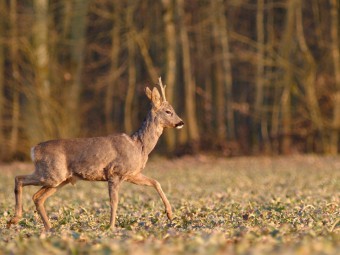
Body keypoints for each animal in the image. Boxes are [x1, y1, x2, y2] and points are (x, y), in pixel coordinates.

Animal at [7, 77, 183, 231]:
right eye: (168, 111)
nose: (181, 122)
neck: (139, 146)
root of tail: (34, 149)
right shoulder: (115, 172)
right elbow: (114, 202)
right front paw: (111, 227)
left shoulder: (132, 174)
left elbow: (155, 182)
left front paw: (170, 214)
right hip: (52, 174)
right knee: (19, 179)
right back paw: (15, 219)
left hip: (59, 180)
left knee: (37, 197)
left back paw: (48, 228)